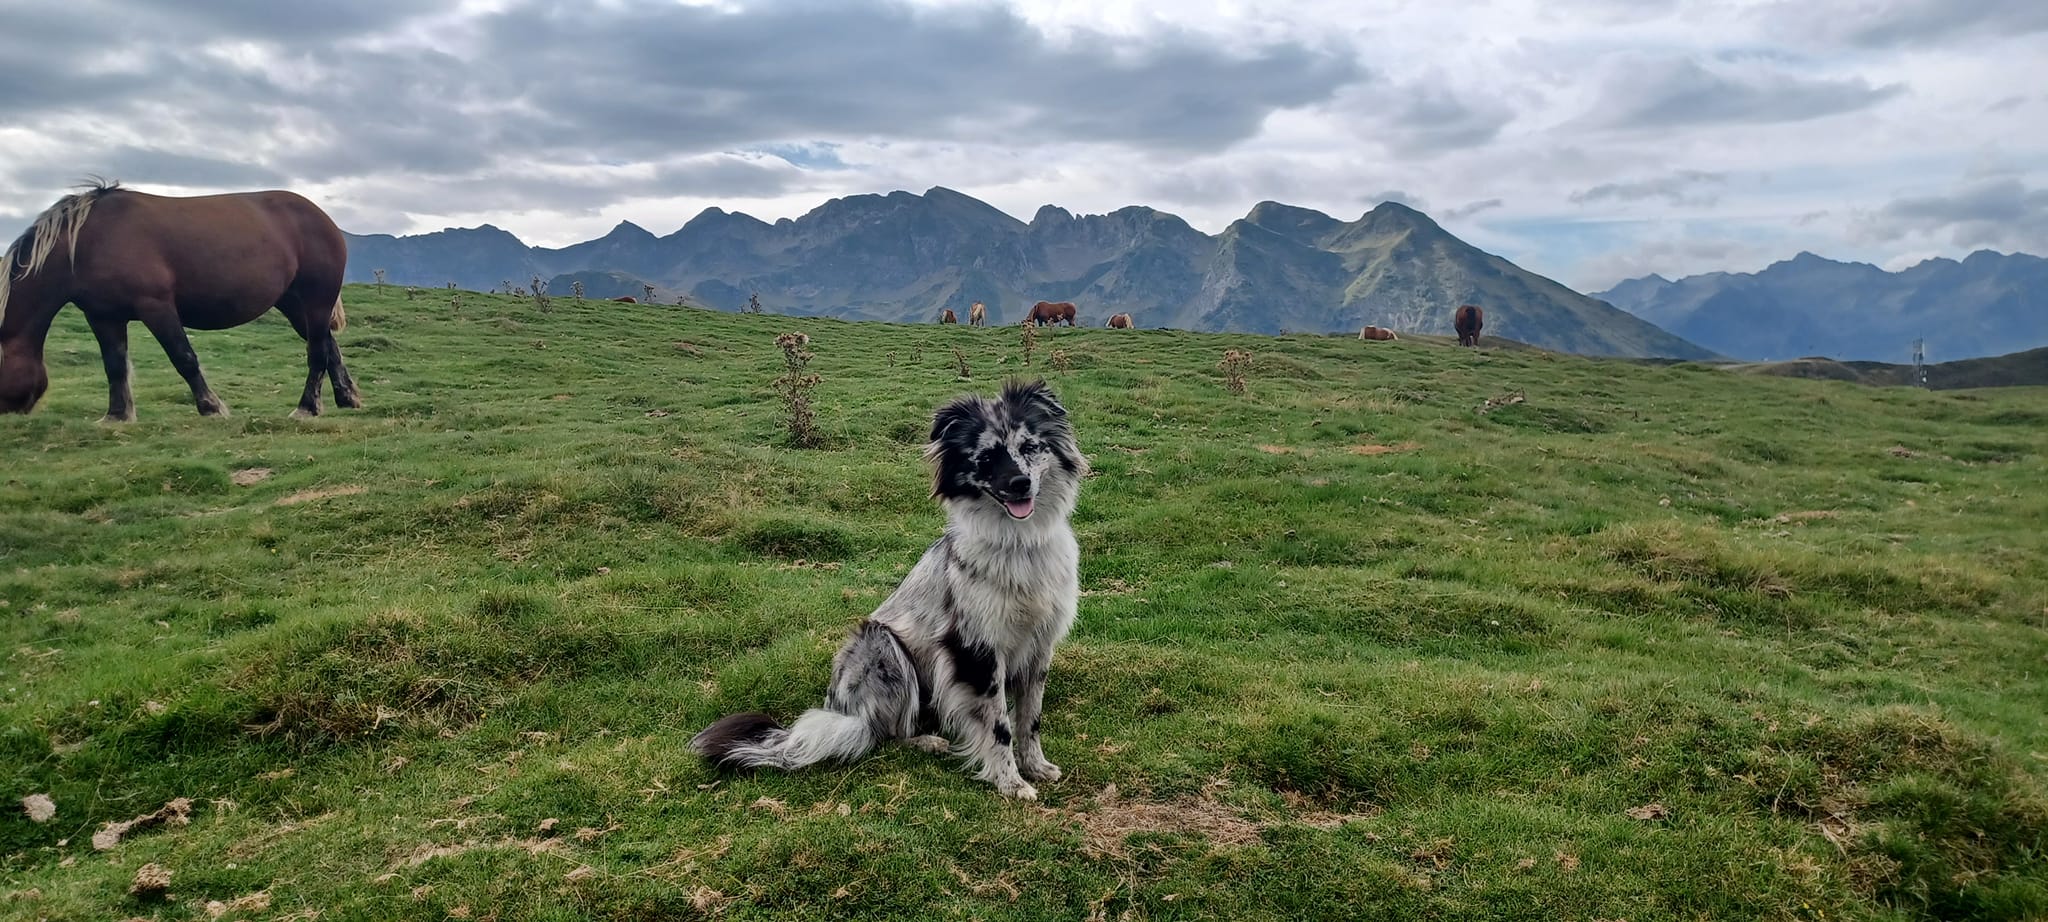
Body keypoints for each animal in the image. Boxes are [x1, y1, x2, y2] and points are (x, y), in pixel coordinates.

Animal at [0, 182, 360, 420]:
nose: (9, 412)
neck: (86, 242)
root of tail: (324, 218)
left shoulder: (156, 306)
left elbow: (183, 357)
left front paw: (211, 406)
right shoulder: (103, 316)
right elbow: (114, 365)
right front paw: (117, 415)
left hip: (315, 301)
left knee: (317, 352)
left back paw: (307, 407)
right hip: (294, 305)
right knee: (329, 348)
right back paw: (347, 398)